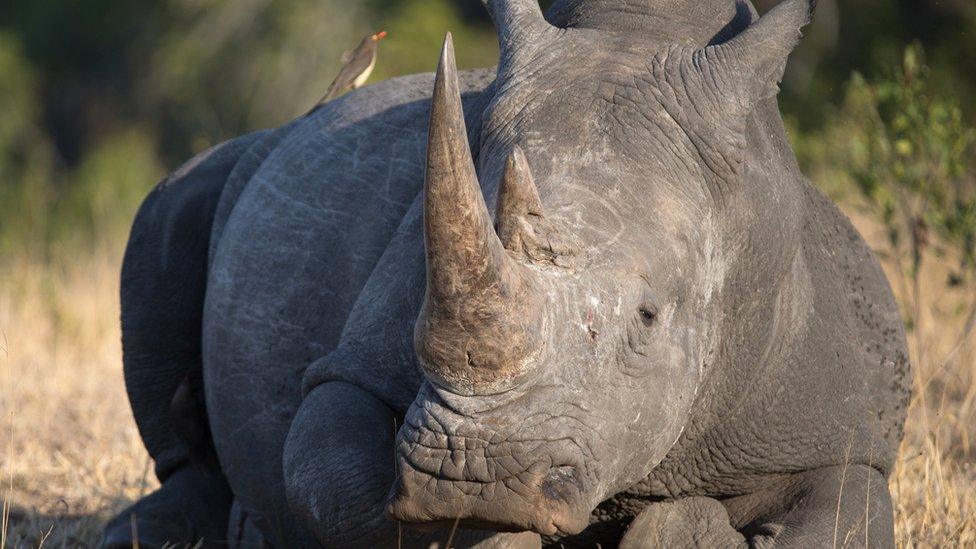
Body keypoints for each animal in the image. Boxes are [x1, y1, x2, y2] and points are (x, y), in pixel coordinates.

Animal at [103, 0, 912, 544]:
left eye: (649, 318)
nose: (471, 473)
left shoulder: (832, 425)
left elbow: (840, 521)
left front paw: (673, 522)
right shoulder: (350, 371)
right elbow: (336, 486)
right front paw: (501, 528)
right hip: (225, 170)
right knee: (174, 209)